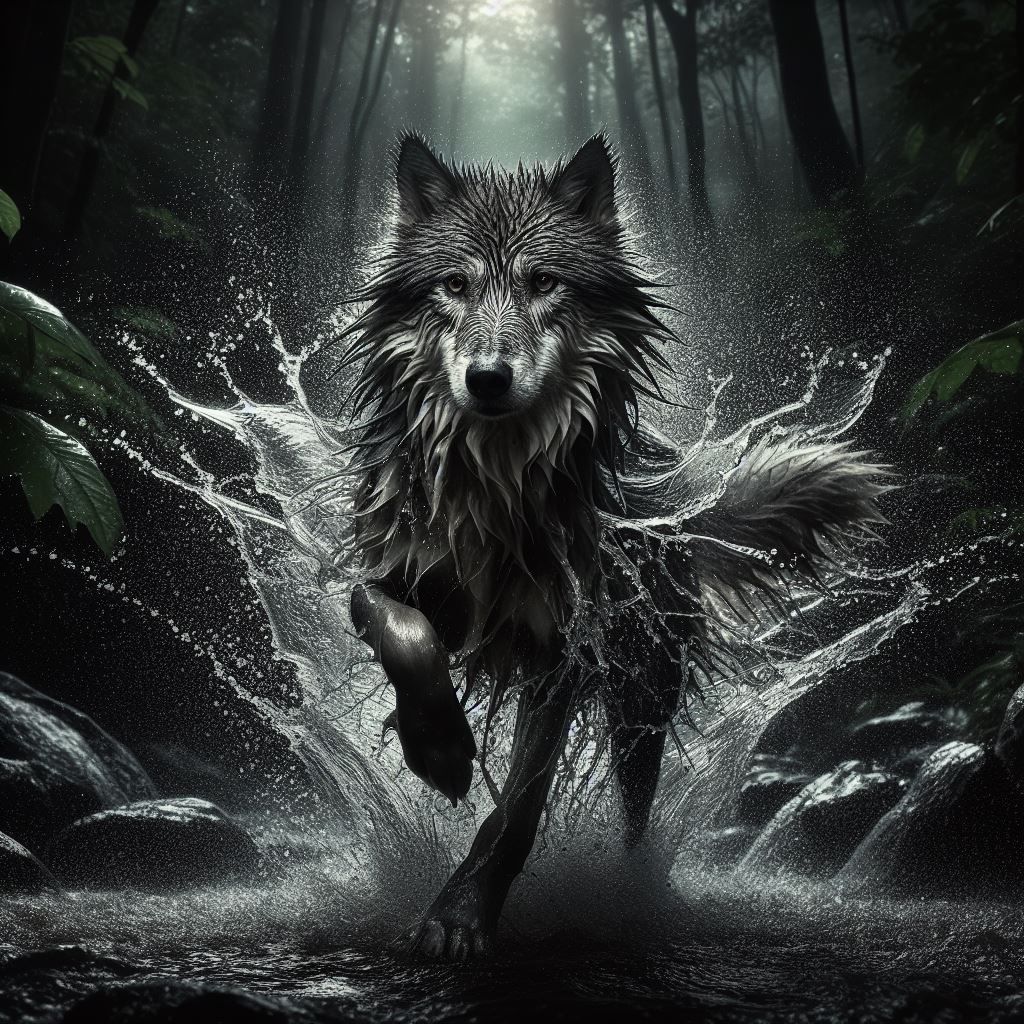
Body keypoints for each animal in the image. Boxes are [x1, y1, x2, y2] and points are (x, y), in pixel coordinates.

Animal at [343, 133, 888, 960]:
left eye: (544, 282)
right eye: (454, 285)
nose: (487, 378)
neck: (498, 490)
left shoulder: (566, 650)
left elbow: (517, 808)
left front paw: (461, 913)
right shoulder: (388, 577)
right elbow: (403, 632)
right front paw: (437, 750)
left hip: (641, 707)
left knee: (635, 810)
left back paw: (634, 898)